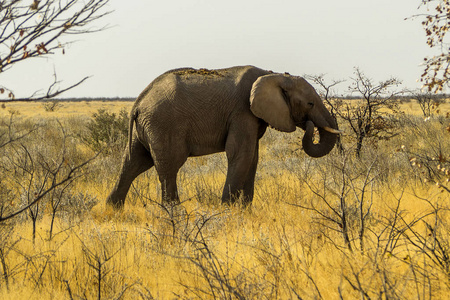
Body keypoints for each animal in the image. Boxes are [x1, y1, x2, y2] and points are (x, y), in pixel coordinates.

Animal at [105, 65, 340, 209]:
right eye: (310, 103)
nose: (310, 125)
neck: (272, 74)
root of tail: (137, 104)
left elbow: (252, 158)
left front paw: (245, 211)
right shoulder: (242, 111)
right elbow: (240, 154)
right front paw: (228, 210)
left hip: (145, 129)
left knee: (133, 163)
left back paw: (112, 210)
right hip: (163, 125)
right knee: (169, 167)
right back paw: (175, 215)